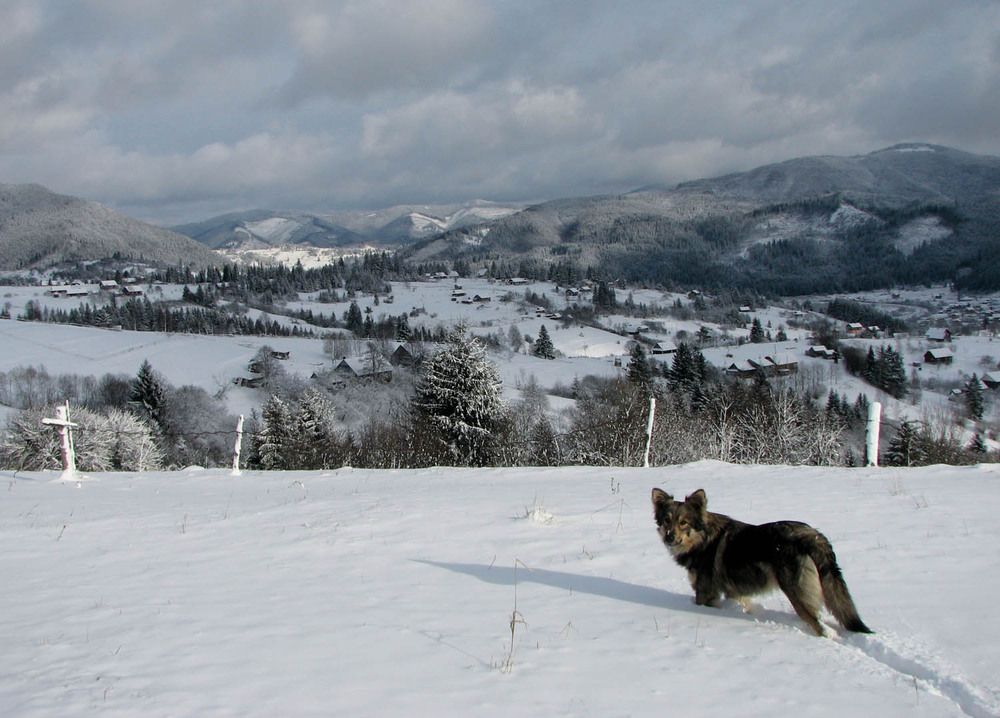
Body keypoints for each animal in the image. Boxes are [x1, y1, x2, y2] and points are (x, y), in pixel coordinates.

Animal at [652, 490, 872, 636]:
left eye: (683, 523)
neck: (703, 539)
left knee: (819, 625)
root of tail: (813, 535)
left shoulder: (705, 593)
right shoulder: (734, 591)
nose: (669, 537)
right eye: (666, 521)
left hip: (795, 593)